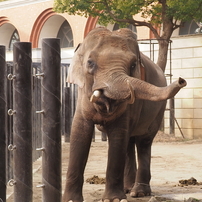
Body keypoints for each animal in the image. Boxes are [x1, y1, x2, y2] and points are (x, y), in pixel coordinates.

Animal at [63, 27, 186, 202]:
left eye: (133, 65)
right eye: (90, 63)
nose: (181, 80)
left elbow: (118, 134)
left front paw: (114, 199)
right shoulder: (82, 96)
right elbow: (80, 132)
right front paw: (71, 200)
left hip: (158, 112)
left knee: (143, 142)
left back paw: (138, 192)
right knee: (129, 142)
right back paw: (128, 189)